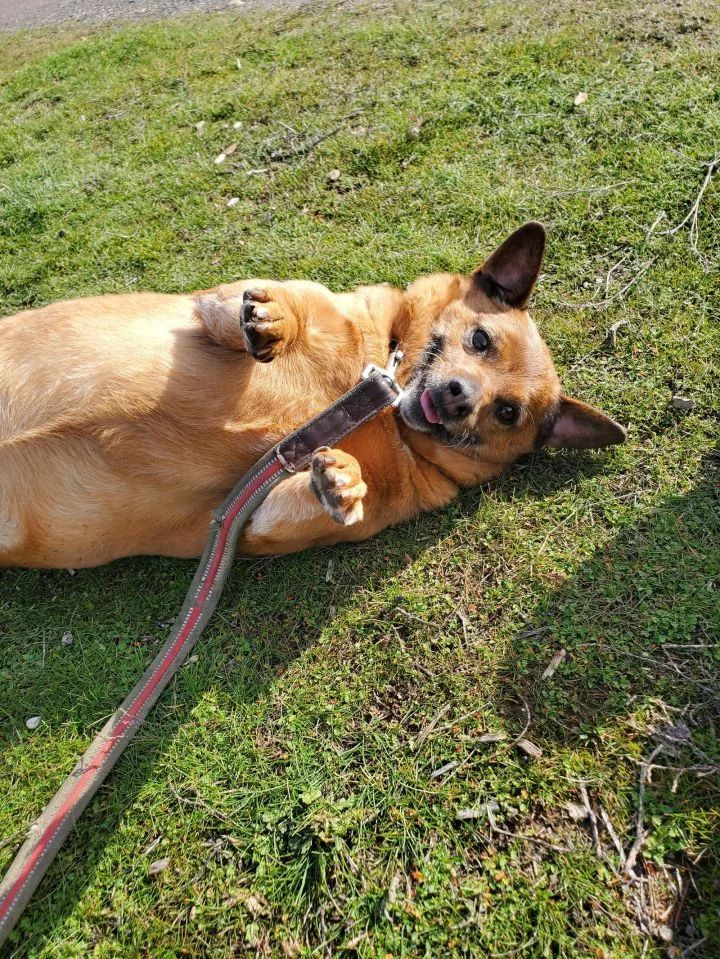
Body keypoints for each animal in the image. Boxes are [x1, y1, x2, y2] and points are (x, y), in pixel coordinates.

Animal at [0, 223, 624, 568]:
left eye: (508, 412)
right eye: (480, 340)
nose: (456, 398)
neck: (377, 402)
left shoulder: (248, 520)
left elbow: (315, 498)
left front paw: (342, 480)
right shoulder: (215, 304)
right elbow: (265, 305)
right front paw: (274, 322)